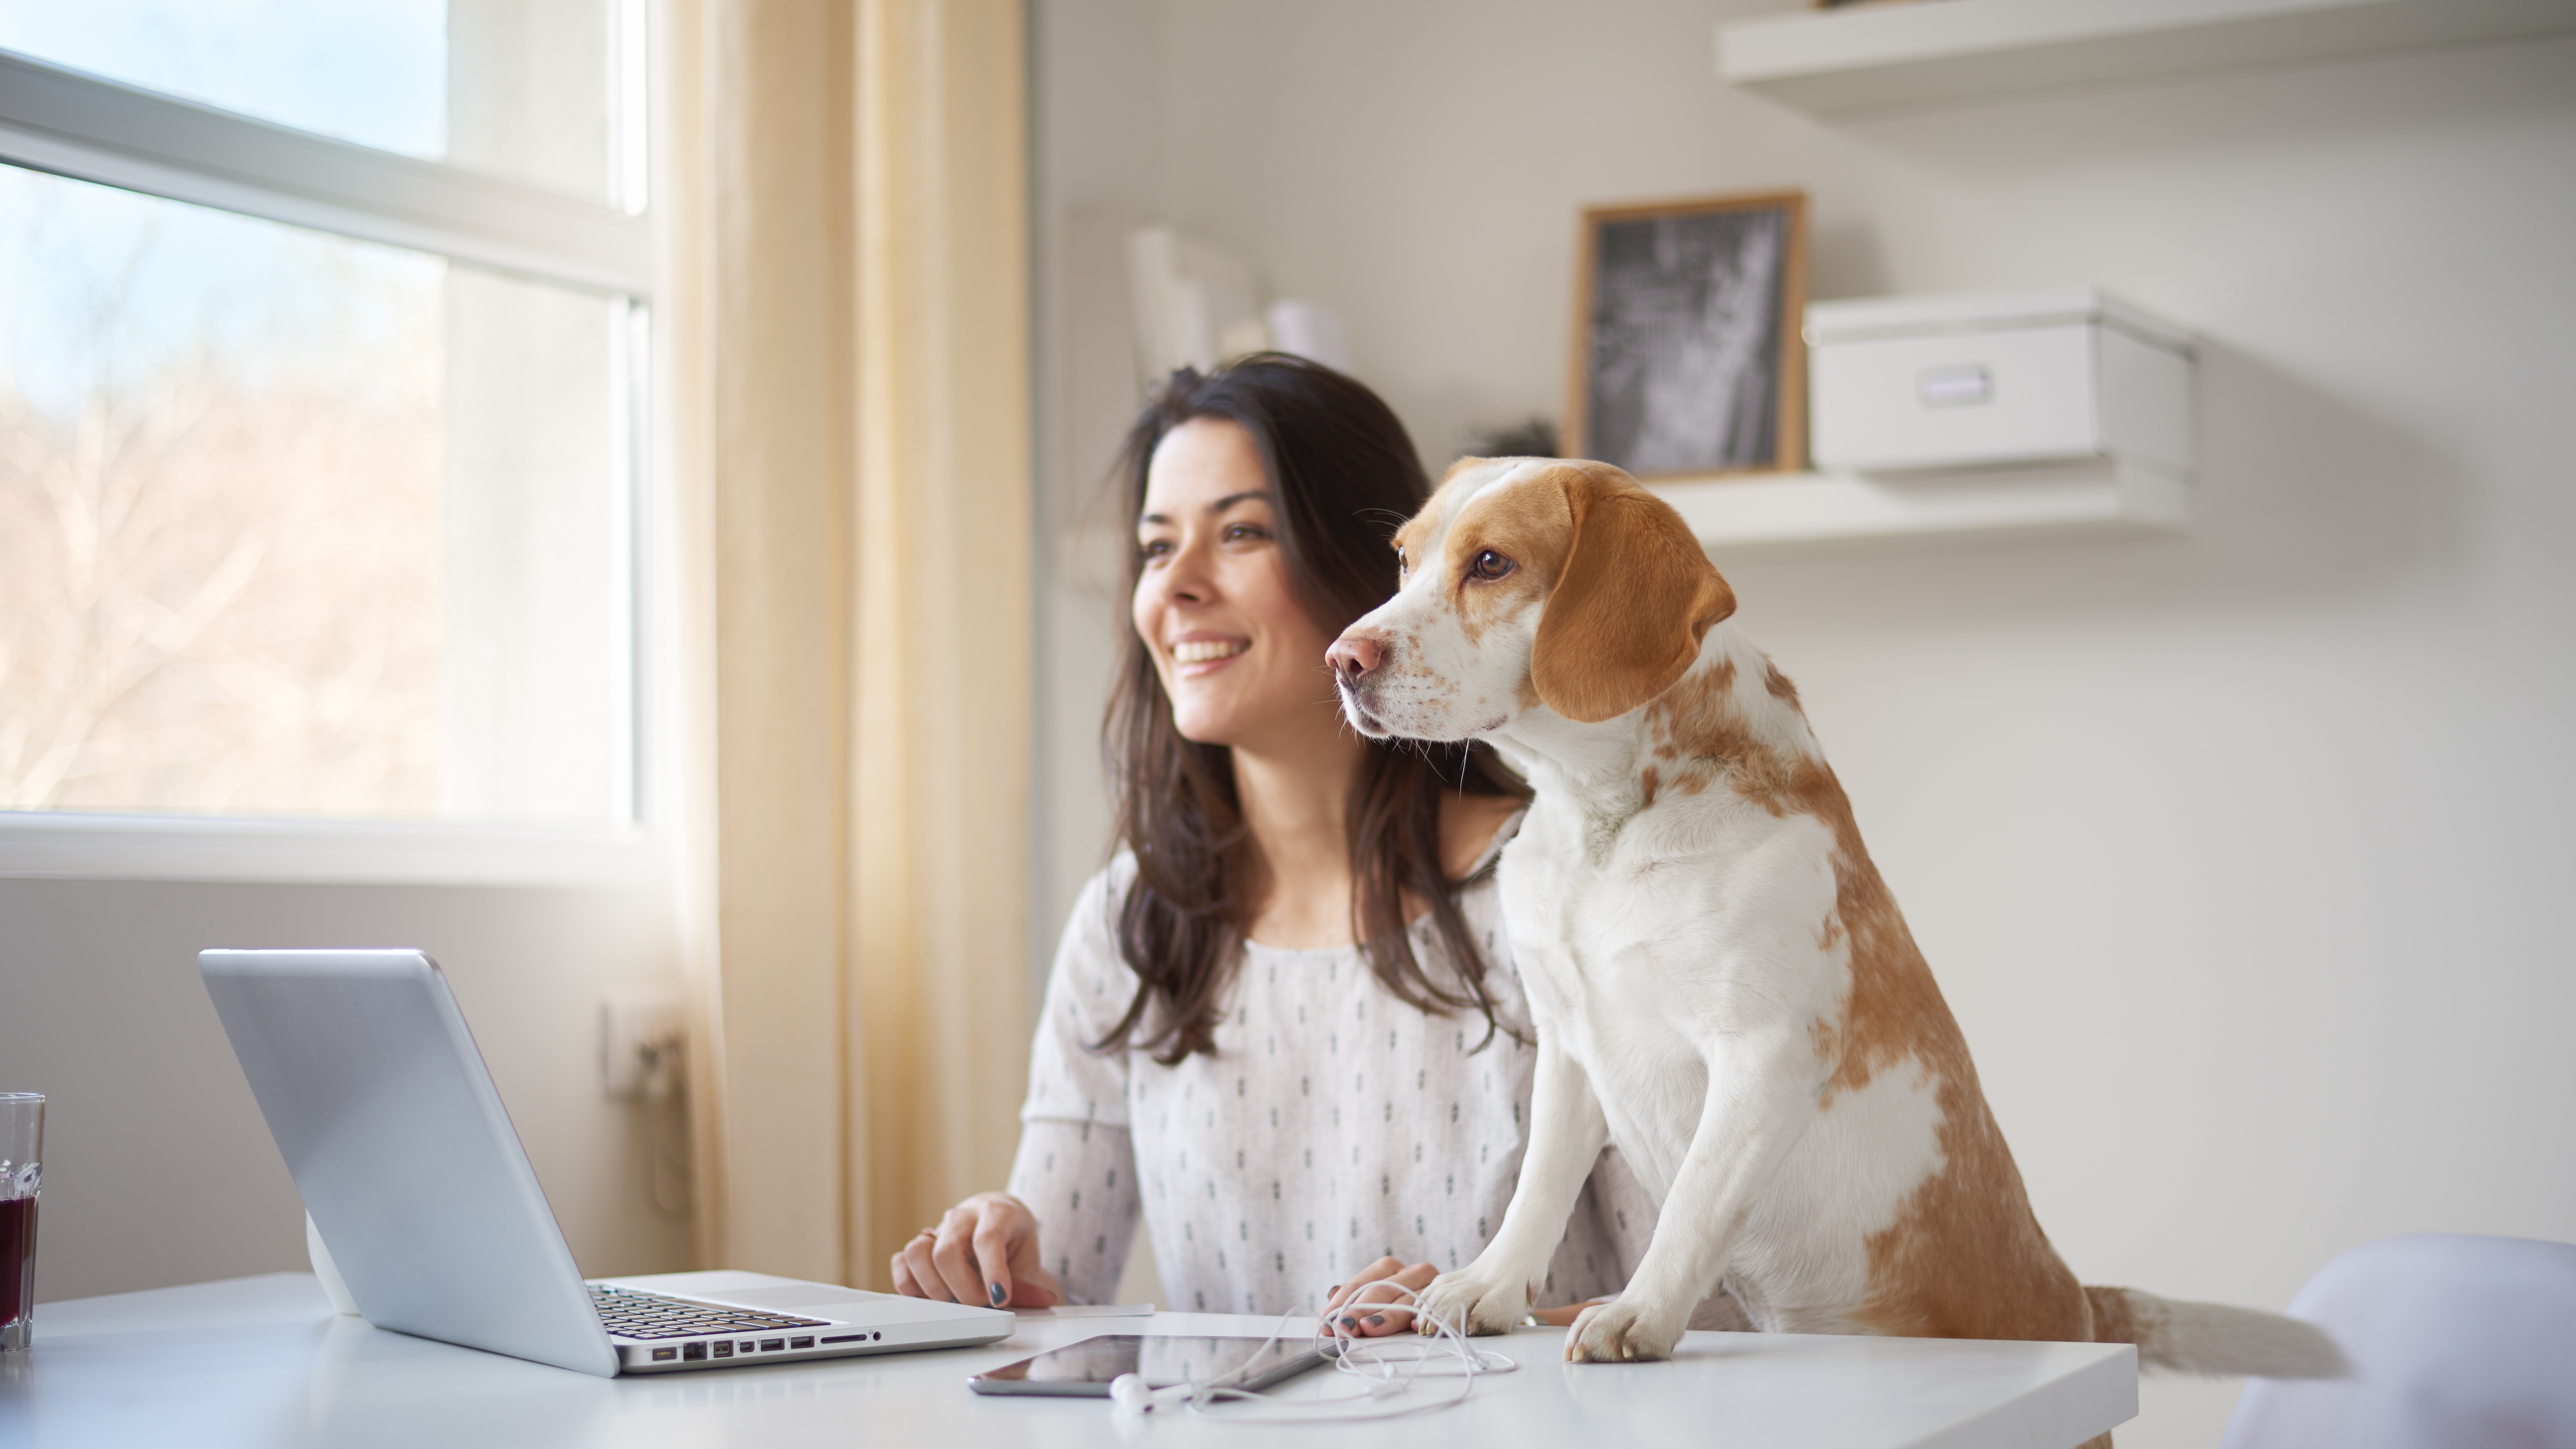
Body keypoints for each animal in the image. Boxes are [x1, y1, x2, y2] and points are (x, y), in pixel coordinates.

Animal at [1329, 458, 2339, 1400]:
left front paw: (1638, 1312)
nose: (1342, 659)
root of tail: (2081, 1304)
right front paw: (1487, 1287)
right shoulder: (1569, 1045)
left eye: (1490, 563)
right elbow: (1537, 1189)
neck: (1601, 826)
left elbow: (1691, 1202)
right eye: (1404, 558)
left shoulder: (1762, 1050)